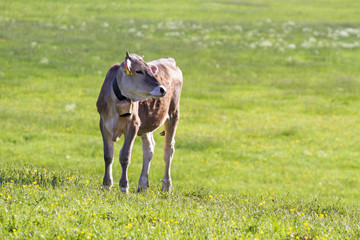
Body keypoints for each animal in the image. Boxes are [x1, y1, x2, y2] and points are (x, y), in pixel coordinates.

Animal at [96, 52, 183, 193]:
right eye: (139, 71)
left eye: (150, 71)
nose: (163, 89)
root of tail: (169, 60)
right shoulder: (103, 124)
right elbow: (108, 155)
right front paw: (106, 184)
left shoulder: (133, 125)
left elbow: (125, 156)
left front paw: (124, 186)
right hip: (147, 123)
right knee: (149, 149)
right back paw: (142, 184)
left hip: (173, 113)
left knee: (168, 150)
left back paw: (166, 185)